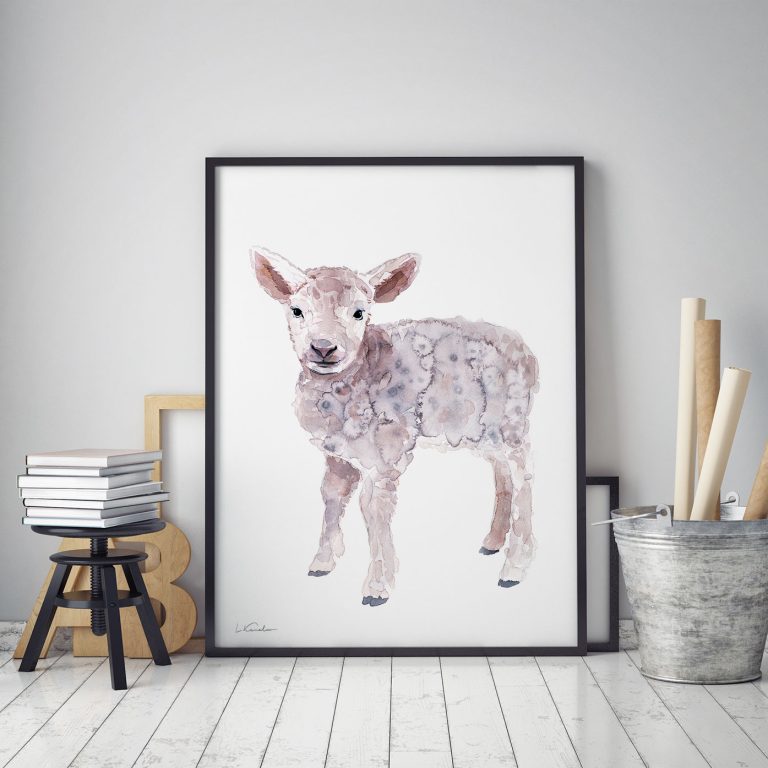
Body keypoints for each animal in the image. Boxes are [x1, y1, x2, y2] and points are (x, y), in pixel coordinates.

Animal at [250, 246, 540, 606]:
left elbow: (373, 510)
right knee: (501, 473)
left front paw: (377, 587)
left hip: (513, 422)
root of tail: (526, 352)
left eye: (359, 313)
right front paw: (322, 563)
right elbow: (331, 495)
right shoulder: (338, 454)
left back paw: (514, 567)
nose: (323, 347)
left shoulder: (387, 455)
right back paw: (492, 542)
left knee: (524, 475)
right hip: (484, 429)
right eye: (297, 310)